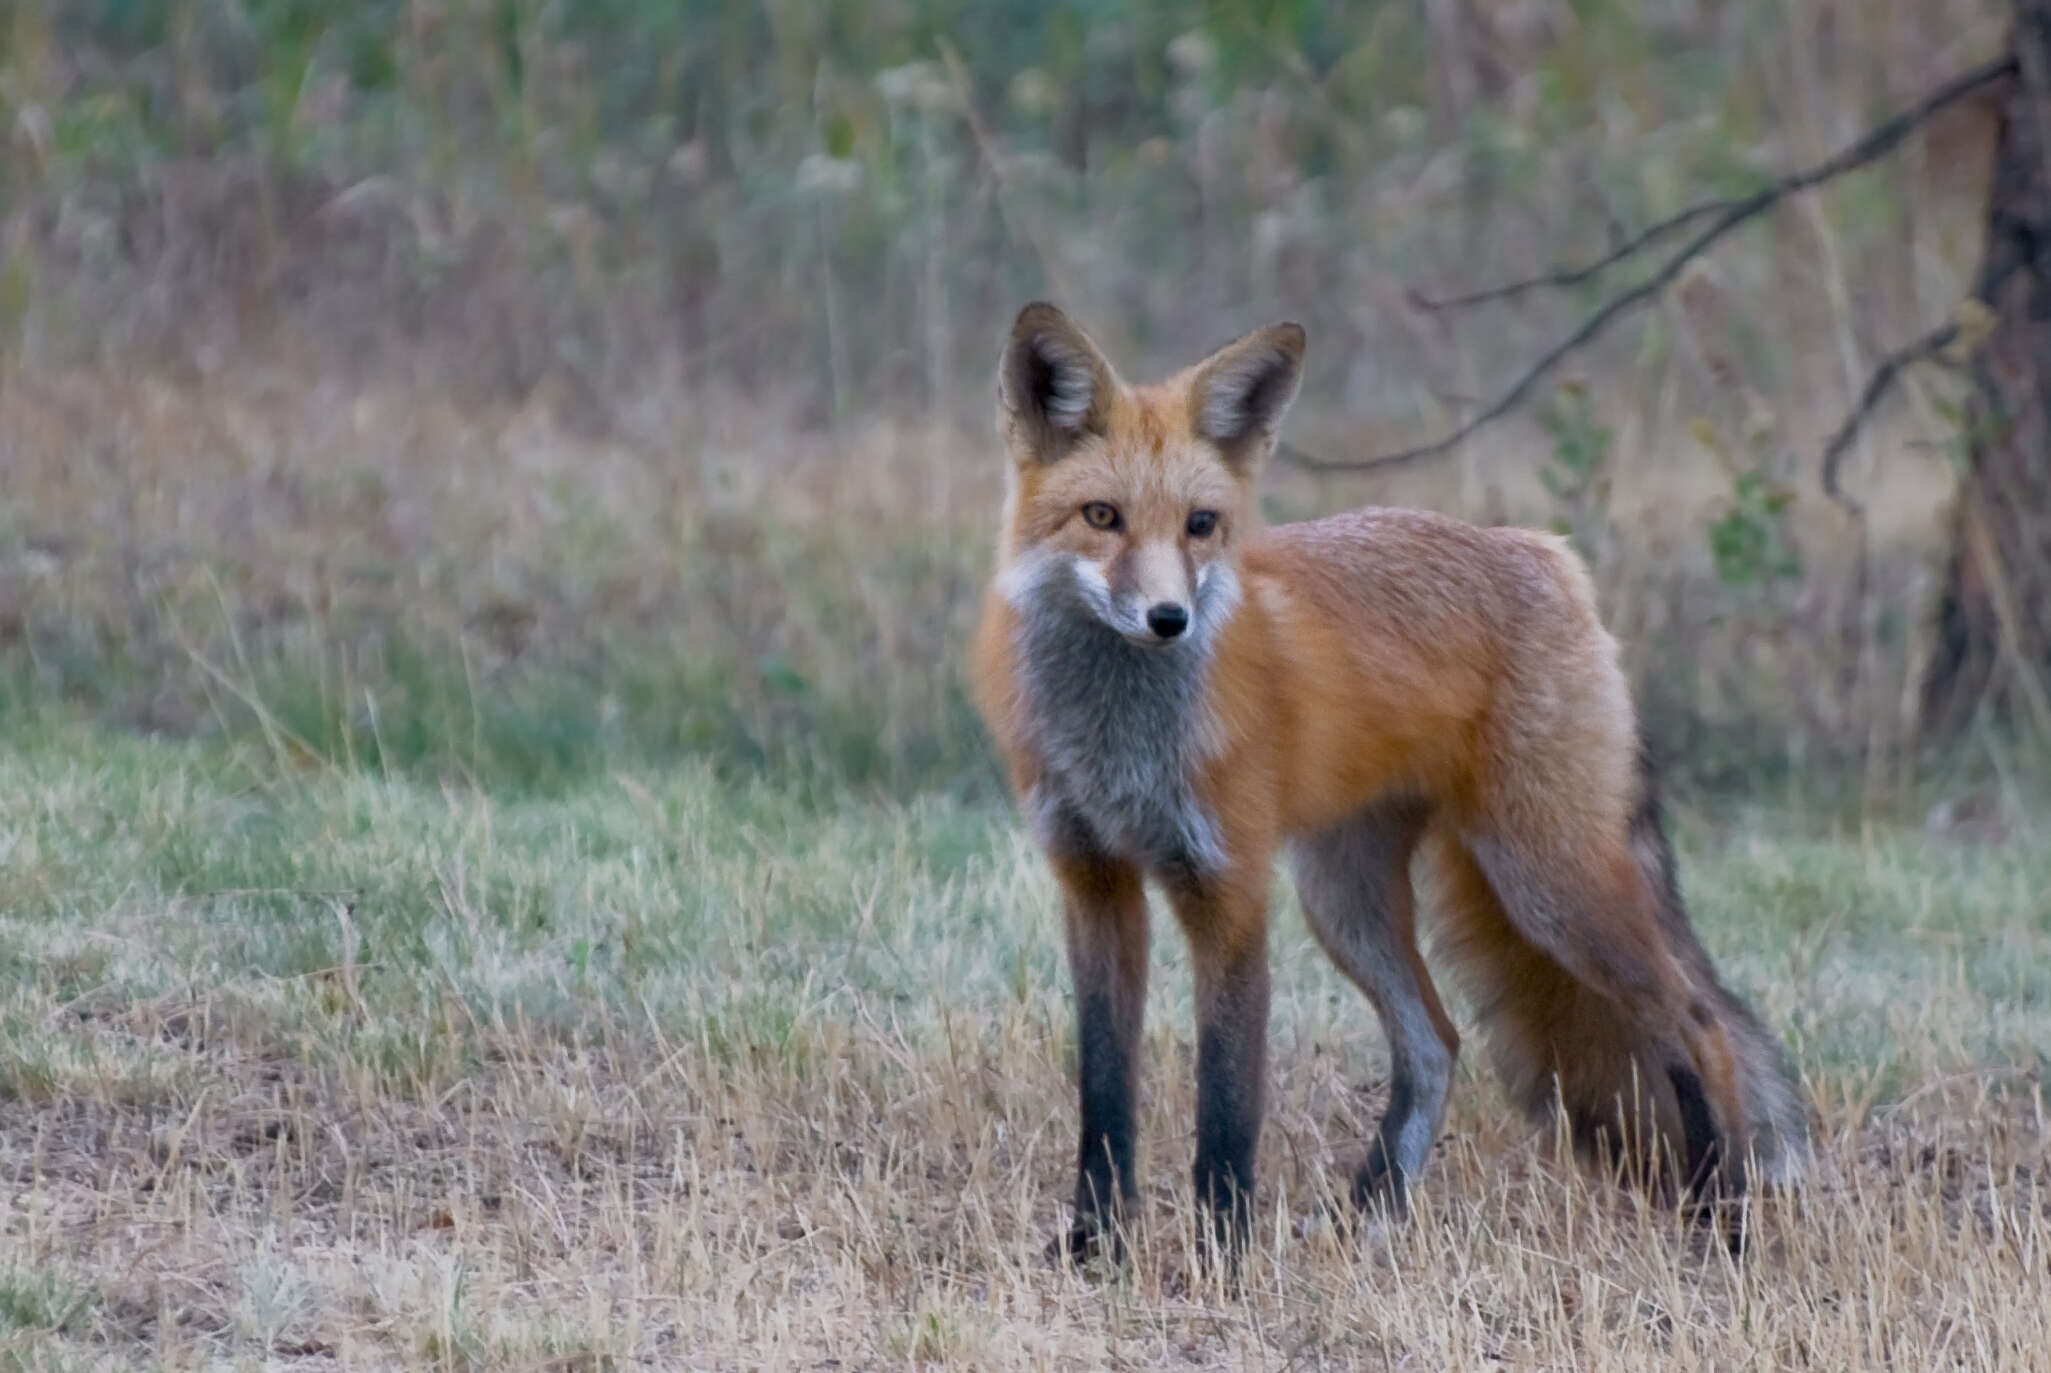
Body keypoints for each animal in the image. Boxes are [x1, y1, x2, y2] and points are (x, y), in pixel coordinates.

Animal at [968, 299, 1804, 1256]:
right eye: (1100, 515)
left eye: (1200, 524)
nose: (1168, 618)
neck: (1119, 742)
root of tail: (1540, 551)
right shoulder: (1094, 880)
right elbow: (1104, 1094)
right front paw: (1095, 1243)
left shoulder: (1227, 886)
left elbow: (1226, 1101)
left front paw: (1223, 1249)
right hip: (1347, 901)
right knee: (1436, 1042)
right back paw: (1365, 1214)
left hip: (1549, 884)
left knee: (1697, 1024)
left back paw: (1722, 1217)